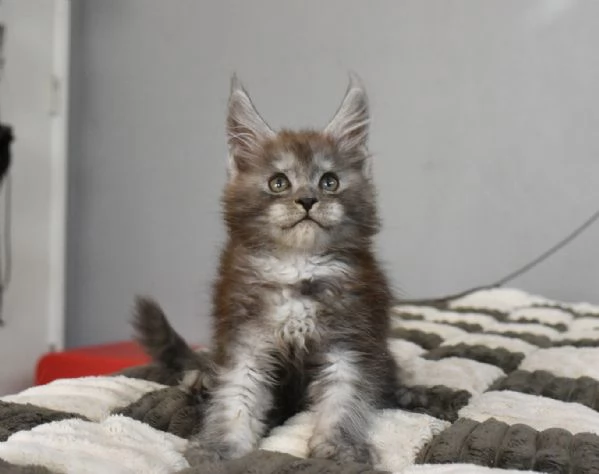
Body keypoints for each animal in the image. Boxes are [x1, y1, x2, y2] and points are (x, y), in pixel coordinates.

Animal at [135, 76, 400, 464]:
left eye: (329, 182)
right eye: (279, 183)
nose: (307, 200)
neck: (297, 266)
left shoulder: (350, 341)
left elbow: (344, 397)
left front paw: (339, 447)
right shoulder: (244, 339)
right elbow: (236, 394)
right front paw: (221, 447)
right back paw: (201, 381)